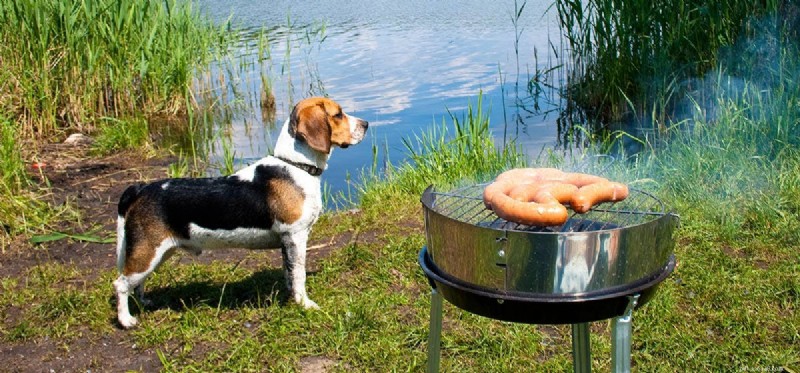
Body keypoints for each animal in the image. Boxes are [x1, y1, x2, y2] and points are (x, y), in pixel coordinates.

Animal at [113, 97, 368, 326]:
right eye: (338, 114)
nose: (365, 124)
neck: (295, 166)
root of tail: (141, 188)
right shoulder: (295, 236)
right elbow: (299, 273)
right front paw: (304, 303)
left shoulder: (286, 240)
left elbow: (289, 272)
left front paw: (291, 297)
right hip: (147, 252)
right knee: (120, 284)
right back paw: (126, 320)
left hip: (158, 253)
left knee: (137, 282)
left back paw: (145, 302)